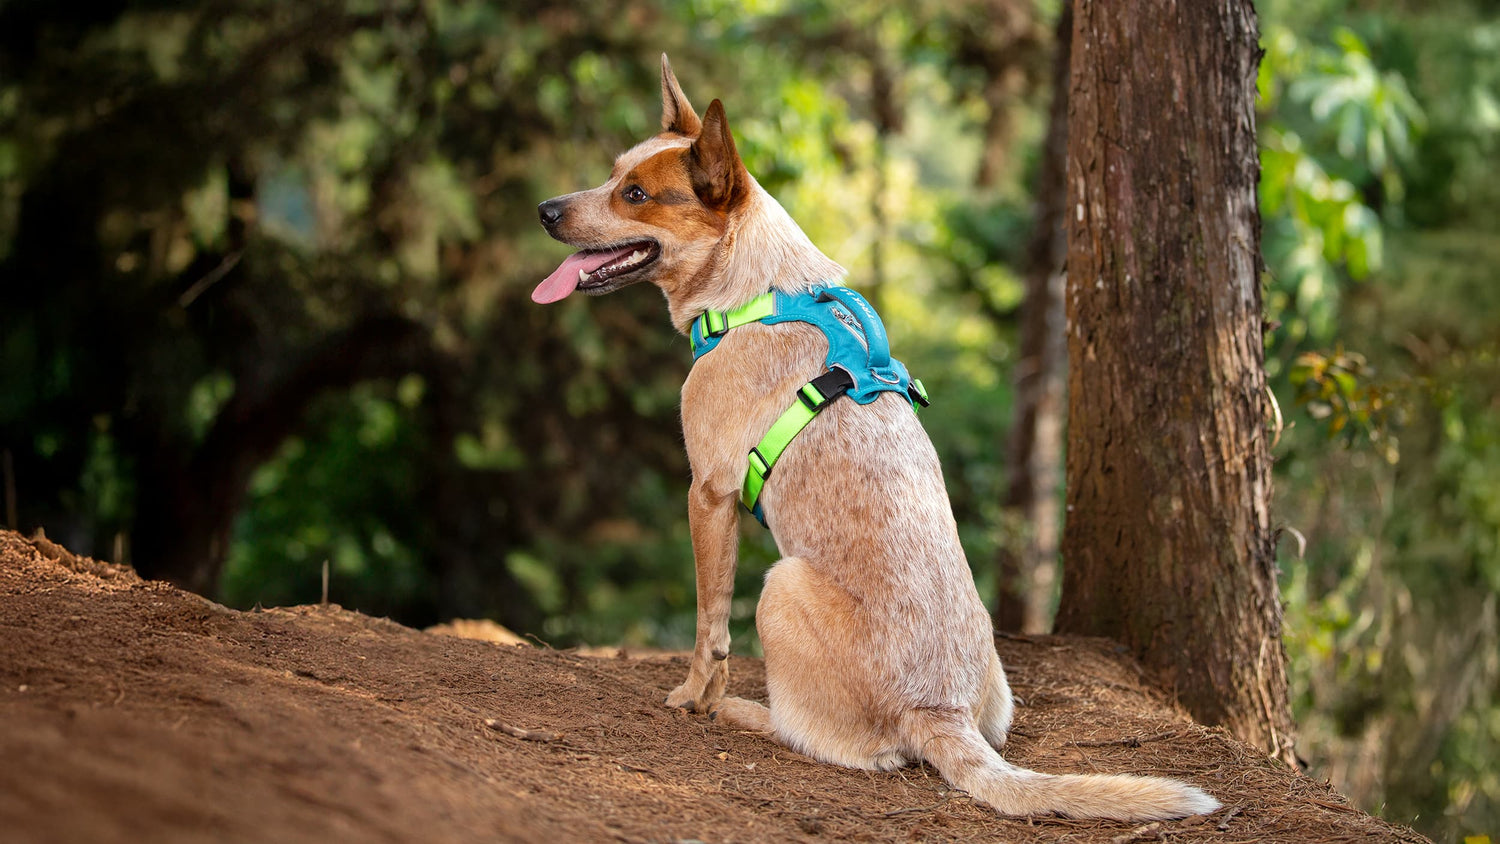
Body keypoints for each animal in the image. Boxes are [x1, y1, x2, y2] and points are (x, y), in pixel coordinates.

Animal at [534, 54, 1224, 827]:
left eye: (635, 194)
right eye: (612, 172)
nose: (546, 210)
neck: (758, 293)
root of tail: (940, 712)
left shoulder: (707, 493)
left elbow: (709, 627)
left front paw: (693, 698)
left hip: (780, 585)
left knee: (836, 742)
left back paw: (744, 711)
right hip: (990, 677)